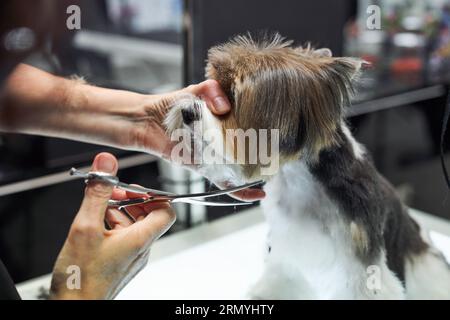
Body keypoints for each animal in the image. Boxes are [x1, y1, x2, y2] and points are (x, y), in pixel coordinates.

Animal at [164, 33, 450, 298]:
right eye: (214, 88)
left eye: (231, 98)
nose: (187, 110)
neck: (298, 178)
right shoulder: (285, 252)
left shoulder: (363, 270)